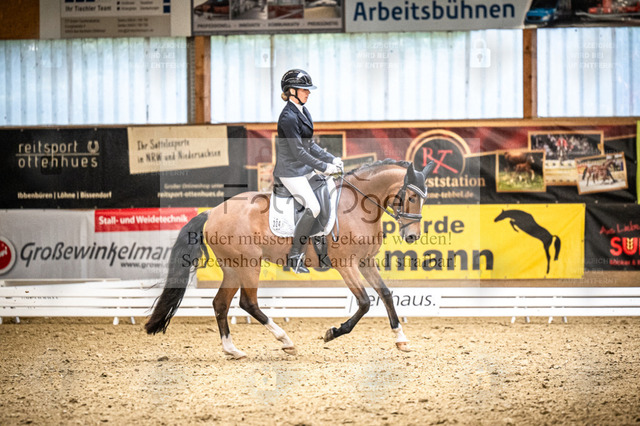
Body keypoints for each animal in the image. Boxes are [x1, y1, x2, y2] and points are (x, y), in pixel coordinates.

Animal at [145, 159, 436, 359]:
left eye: (423, 199)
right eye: (410, 197)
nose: (412, 236)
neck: (357, 207)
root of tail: (213, 212)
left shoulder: (366, 262)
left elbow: (385, 294)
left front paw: (401, 338)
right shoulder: (347, 265)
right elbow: (364, 302)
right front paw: (332, 333)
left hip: (232, 267)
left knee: (220, 303)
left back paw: (232, 350)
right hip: (248, 264)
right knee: (248, 302)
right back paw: (285, 341)